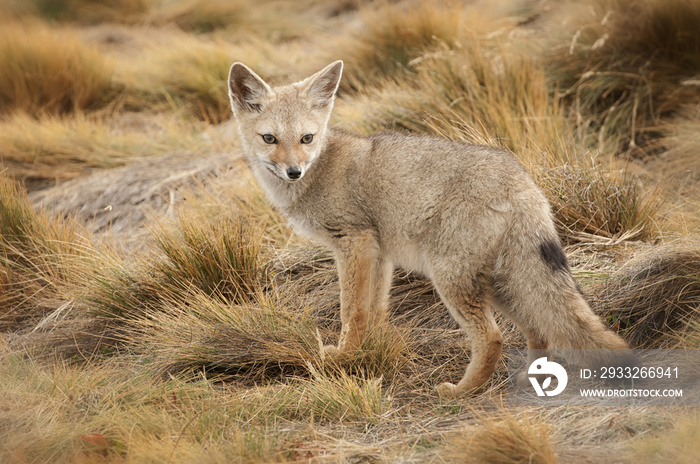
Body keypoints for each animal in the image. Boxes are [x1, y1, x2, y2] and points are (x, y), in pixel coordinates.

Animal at [227, 59, 632, 396]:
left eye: (306, 138)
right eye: (269, 139)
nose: (293, 171)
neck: (318, 171)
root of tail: (521, 181)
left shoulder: (353, 241)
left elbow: (352, 311)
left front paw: (343, 357)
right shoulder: (379, 253)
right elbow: (375, 309)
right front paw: (371, 351)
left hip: (452, 280)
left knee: (493, 338)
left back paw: (462, 391)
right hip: (500, 282)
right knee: (538, 327)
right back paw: (528, 378)